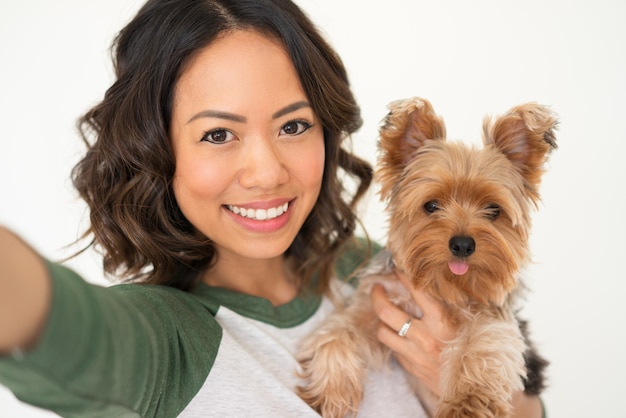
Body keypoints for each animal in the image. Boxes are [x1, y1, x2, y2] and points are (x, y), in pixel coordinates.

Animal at [294, 98, 552, 418]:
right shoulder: (373, 307)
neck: (443, 285)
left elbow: (481, 344)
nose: (463, 244)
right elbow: (335, 334)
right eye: (431, 205)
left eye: (493, 210)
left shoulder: (493, 314)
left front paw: (467, 403)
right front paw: (330, 394)